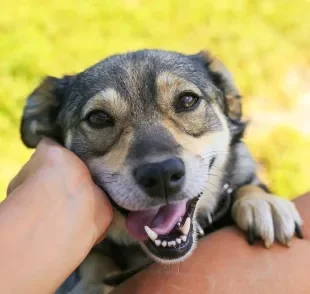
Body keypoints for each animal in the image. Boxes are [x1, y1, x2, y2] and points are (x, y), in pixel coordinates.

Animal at [20, 49, 302, 292]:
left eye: (187, 100)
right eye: (98, 118)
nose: (161, 174)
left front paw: (262, 202)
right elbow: (94, 260)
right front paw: (92, 283)